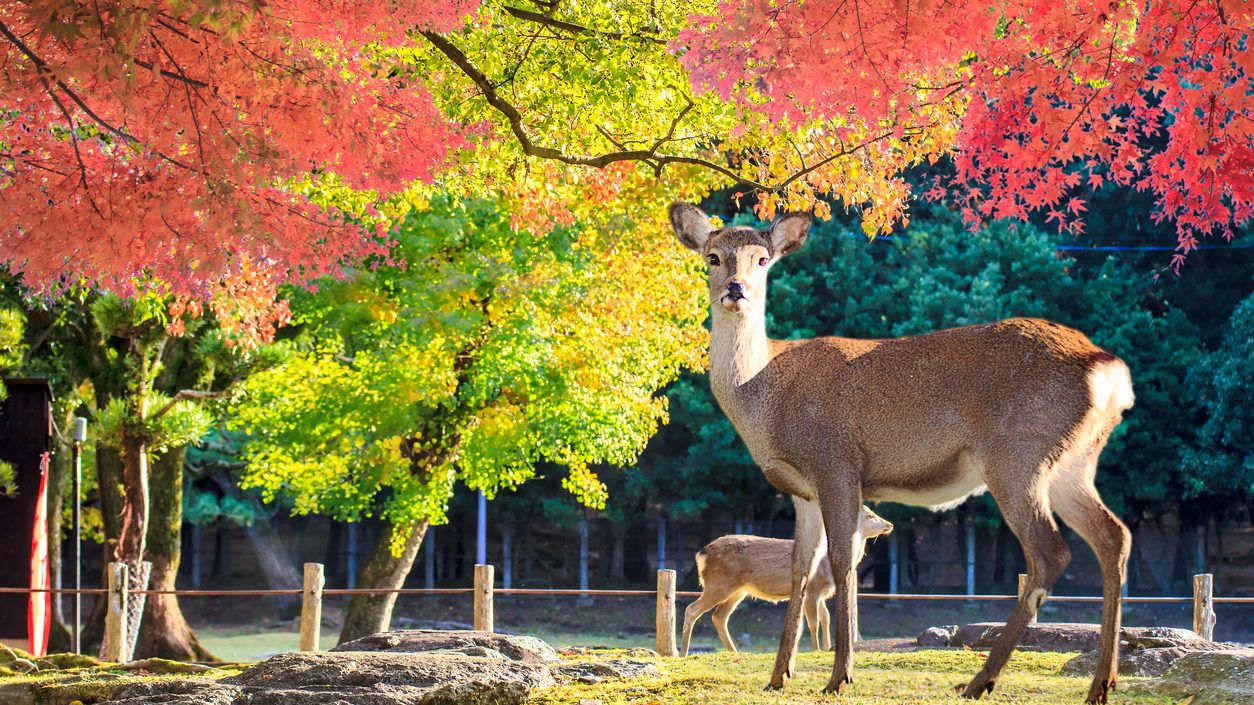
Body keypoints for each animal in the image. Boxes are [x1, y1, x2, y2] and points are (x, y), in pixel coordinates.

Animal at [677, 501, 892, 657]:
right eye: (870, 515)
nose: (889, 524)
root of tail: (701, 554)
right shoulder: (812, 589)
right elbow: (813, 621)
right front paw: (815, 648)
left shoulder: (821, 593)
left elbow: (826, 618)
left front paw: (827, 647)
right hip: (718, 584)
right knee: (692, 610)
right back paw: (683, 652)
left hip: (738, 590)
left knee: (719, 617)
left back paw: (734, 651)